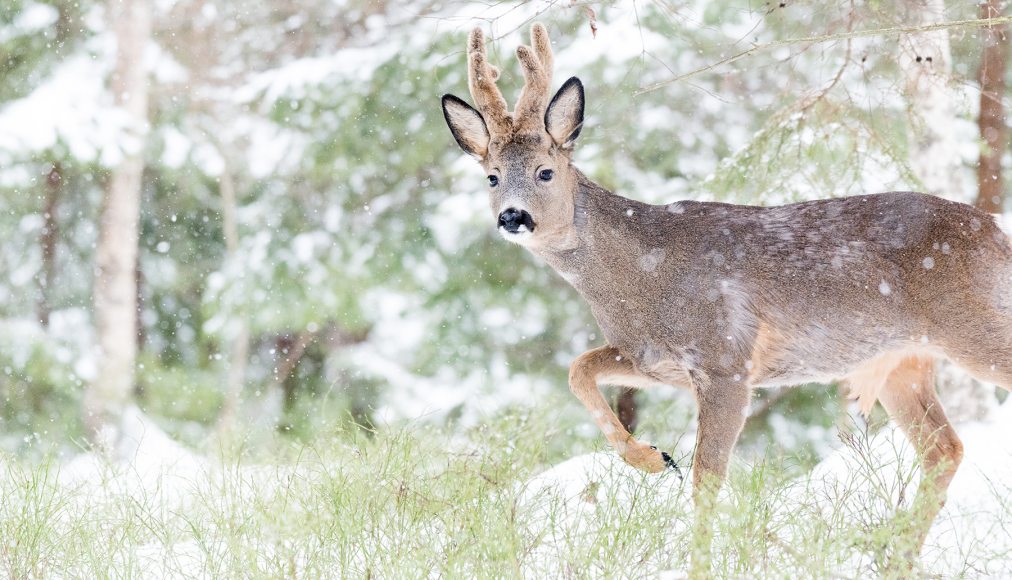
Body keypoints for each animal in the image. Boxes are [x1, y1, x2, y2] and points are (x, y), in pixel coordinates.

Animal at [441, 23, 1011, 574]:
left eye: (545, 170)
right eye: (491, 177)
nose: (513, 217)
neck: (642, 278)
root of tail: (995, 230)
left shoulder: (727, 361)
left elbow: (706, 482)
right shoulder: (655, 360)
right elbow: (578, 368)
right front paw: (652, 458)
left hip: (972, 324)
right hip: (900, 361)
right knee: (944, 448)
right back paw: (896, 560)